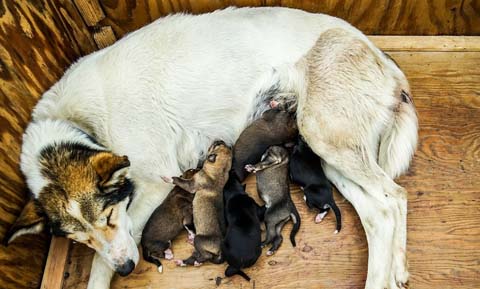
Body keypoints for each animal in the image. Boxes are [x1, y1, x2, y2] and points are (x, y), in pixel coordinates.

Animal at [6, 6, 416, 288]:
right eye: (77, 239)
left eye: (107, 218)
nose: (128, 268)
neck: (78, 122)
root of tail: (381, 56)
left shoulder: (152, 185)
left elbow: (100, 265)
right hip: (327, 153)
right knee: (378, 215)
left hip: (323, 135)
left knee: (394, 198)